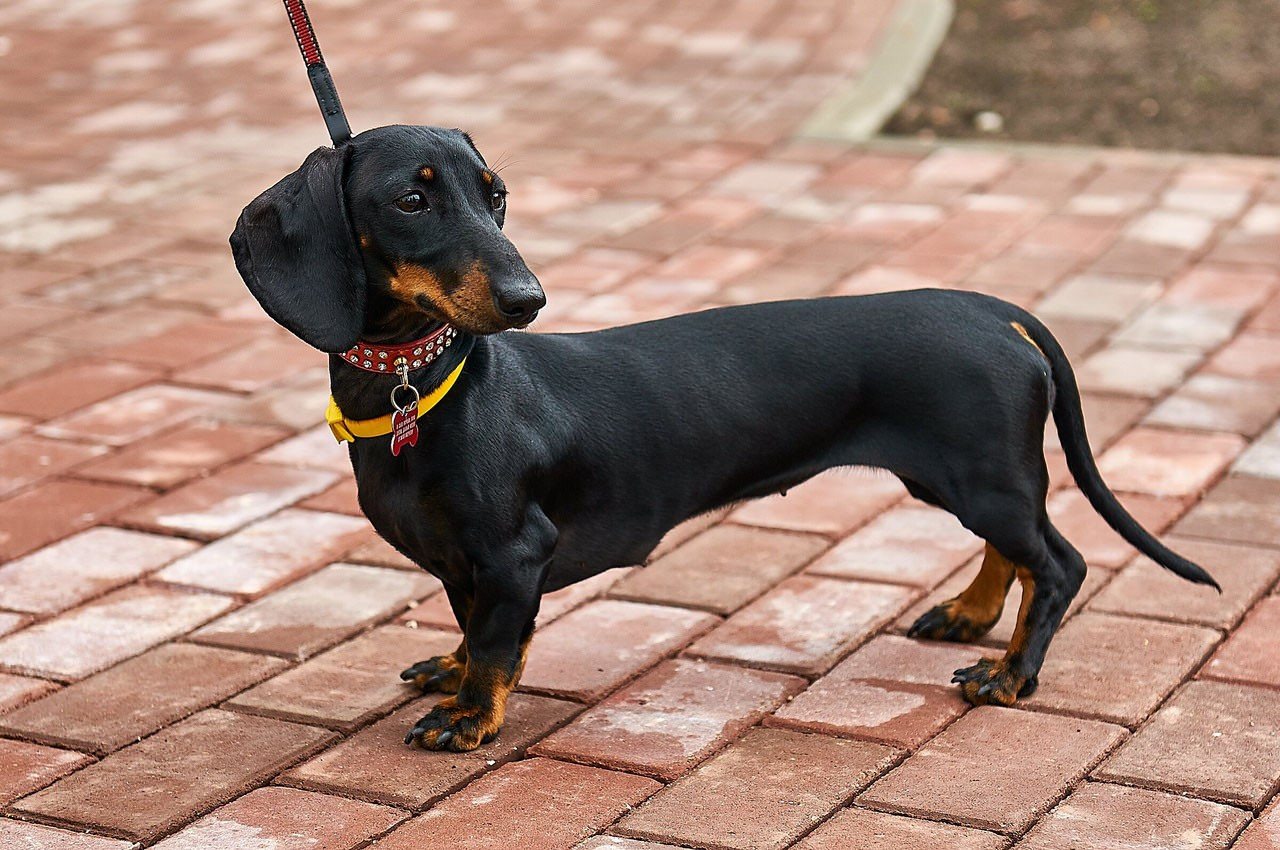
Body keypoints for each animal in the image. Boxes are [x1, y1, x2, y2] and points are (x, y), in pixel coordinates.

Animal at [232, 126, 1218, 752]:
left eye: (495, 196)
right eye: (411, 198)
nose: (528, 299)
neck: (423, 392)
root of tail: (989, 307)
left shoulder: (515, 553)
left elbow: (500, 643)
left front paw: (471, 716)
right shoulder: (458, 560)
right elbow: (470, 624)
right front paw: (453, 665)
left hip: (984, 477)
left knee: (1058, 564)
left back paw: (1010, 675)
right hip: (971, 480)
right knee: (1012, 554)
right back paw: (969, 617)